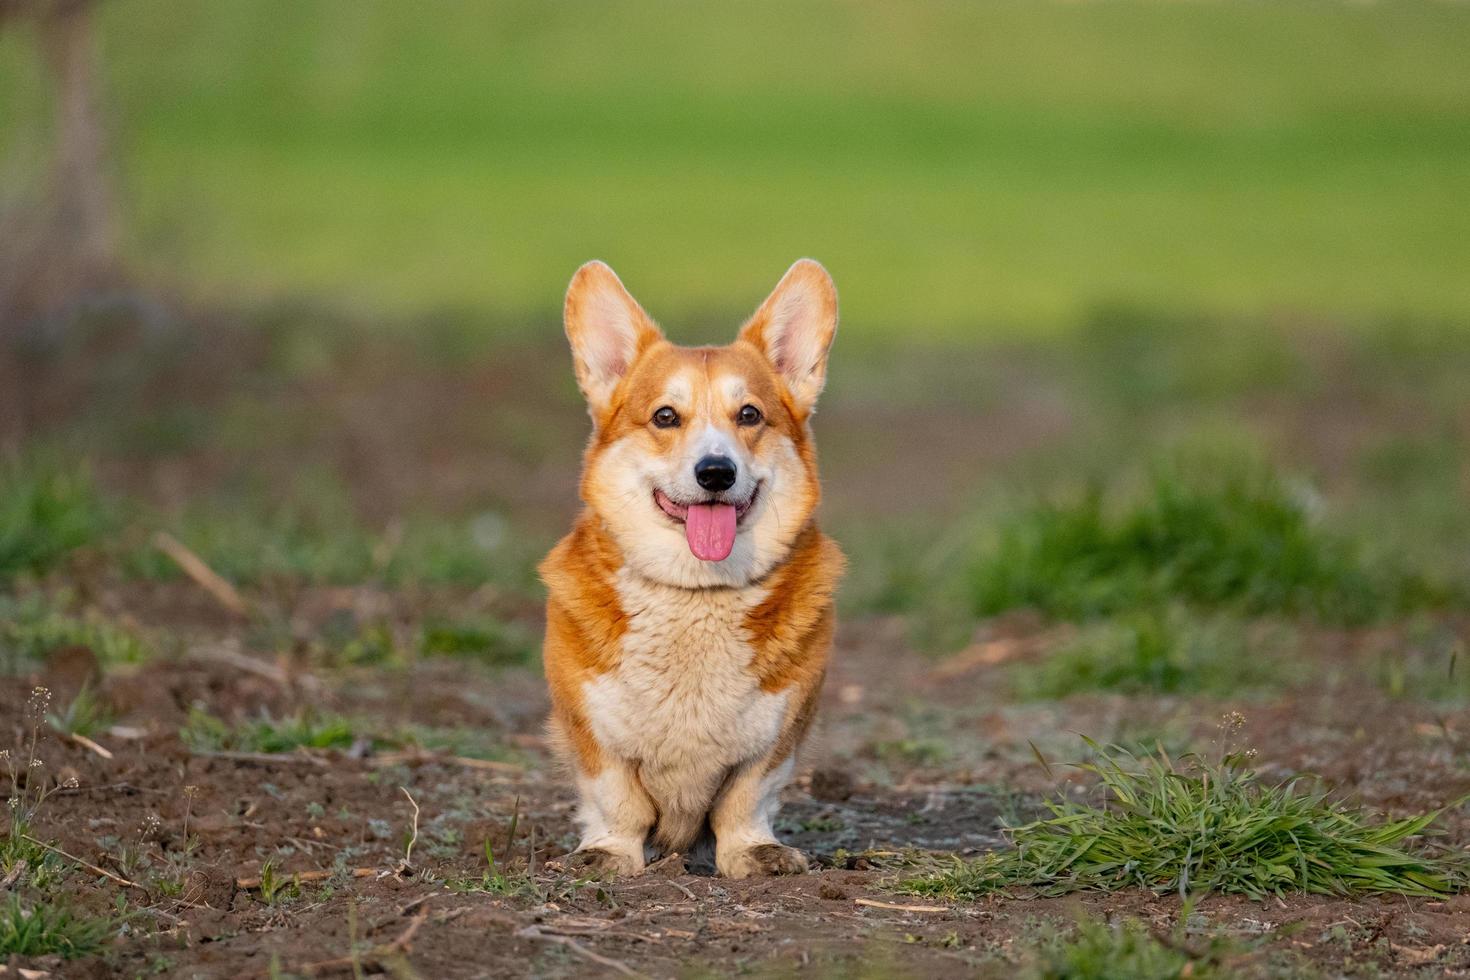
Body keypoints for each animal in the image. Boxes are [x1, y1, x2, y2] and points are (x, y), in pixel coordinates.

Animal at [540, 257, 846, 875]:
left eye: (749, 414)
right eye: (665, 416)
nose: (716, 472)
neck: (696, 593)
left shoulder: (782, 729)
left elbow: (746, 798)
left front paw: (754, 851)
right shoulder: (588, 726)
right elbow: (616, 798)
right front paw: (608, 851)